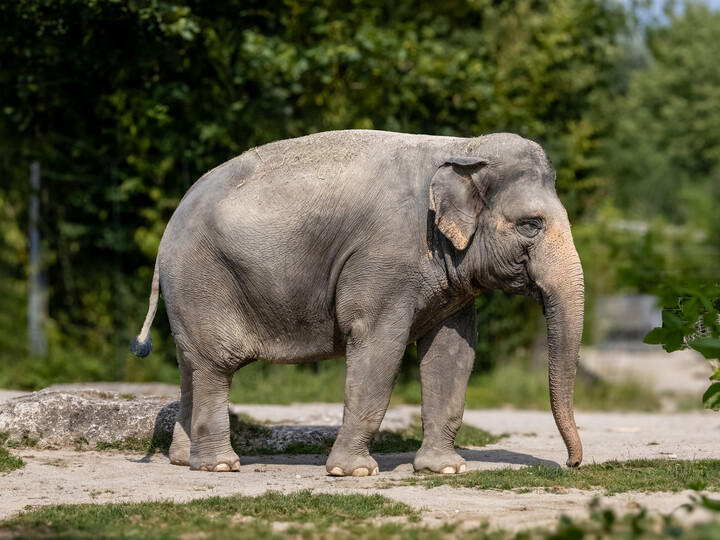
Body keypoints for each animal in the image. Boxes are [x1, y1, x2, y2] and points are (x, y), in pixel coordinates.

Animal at [130, 129, 584, 475]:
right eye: (531, 225)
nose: (572, 464)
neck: (464, 148)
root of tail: (168, 229)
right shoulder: (383, 260)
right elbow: (379, 345)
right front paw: (354, 473)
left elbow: (452, 354)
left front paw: (445, 469)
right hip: (202, 280)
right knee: (214, 364)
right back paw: (220, 466)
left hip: (187, 292)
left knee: (190, 366)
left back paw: (181, 460)